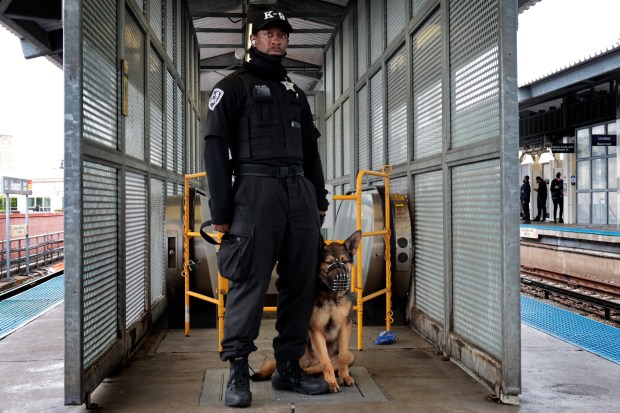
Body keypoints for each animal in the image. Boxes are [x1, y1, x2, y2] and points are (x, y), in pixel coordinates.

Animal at [249, 230, 360, 392]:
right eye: (329, 263)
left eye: (345, 262)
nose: (342, 281)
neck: (330, 297)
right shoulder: (316, 330)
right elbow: (326, 360)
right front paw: (331, 382)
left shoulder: (345, 327)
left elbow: (343, 356)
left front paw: (344, 376)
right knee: (302, 367)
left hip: (351, 355)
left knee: (322, 366)